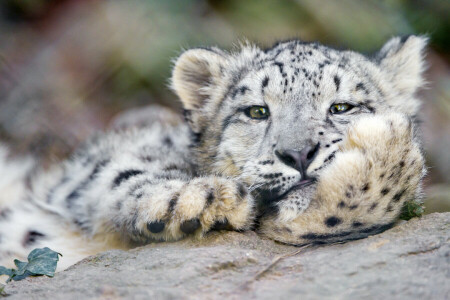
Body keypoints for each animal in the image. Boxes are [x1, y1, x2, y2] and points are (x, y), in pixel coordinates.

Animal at [0, 34, 428, 272]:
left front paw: (386, 147)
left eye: (342, 107)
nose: (299, 153)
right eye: (257, 111)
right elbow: (121, 171)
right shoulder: (94, 167)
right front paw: (198, 200)